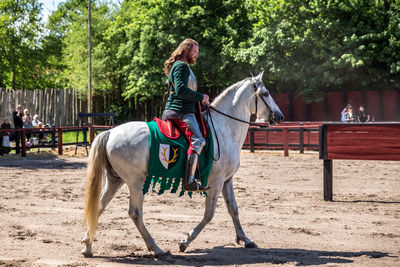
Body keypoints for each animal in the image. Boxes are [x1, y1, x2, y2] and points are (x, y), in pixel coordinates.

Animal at [81, 71, 282, 258]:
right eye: (265, 93)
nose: (279, 116)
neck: (225, 127)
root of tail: (110, 133)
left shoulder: (227, 180)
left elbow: (233, 209)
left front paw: (245, 239)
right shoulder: (216, 182)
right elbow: (209, 214)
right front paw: (185, 241)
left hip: (115, 180)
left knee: (98, 207)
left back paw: (87, 246)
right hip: (136, 182)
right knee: (135, 213)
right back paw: (156, 249)